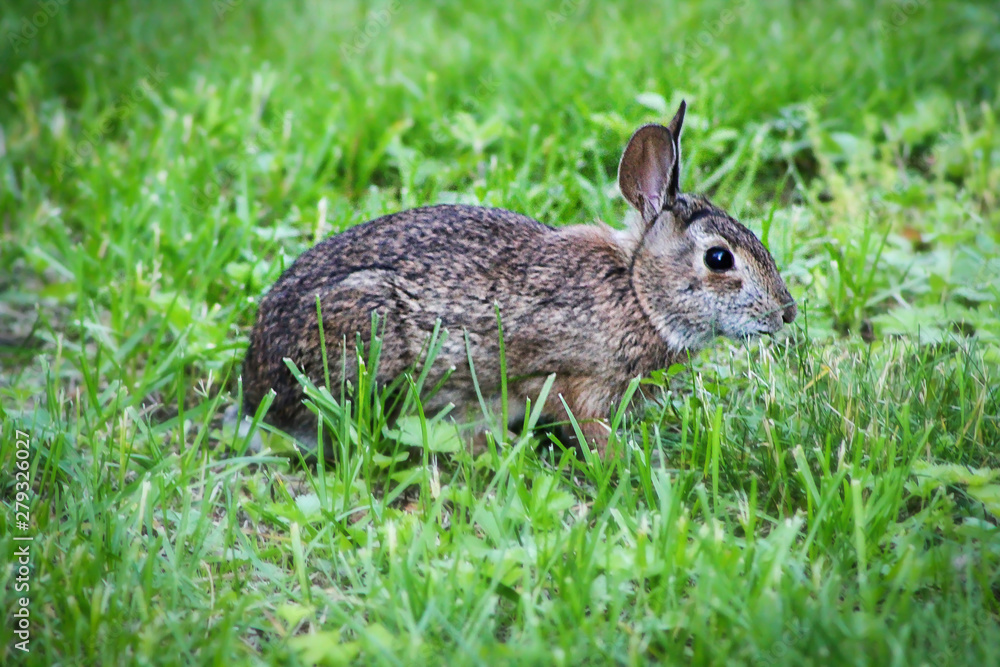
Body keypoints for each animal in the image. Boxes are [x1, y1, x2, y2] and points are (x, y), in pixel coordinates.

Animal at [239, 101, 797, 457]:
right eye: (719, 259)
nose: (787, 312)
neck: (639, 293)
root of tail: (255, 385)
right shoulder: (578, 383)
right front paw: (628, 462)